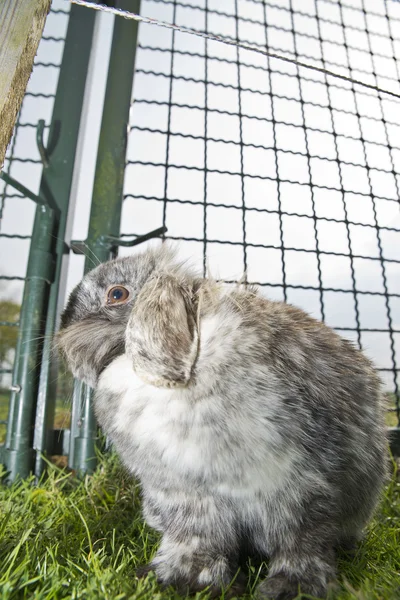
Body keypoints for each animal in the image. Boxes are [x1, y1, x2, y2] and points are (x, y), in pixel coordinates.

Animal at [57, 245, 388, 600]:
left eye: (117, 294)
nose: (63, 342)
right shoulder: (188, 501)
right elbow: (197, 543)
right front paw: (179, 581)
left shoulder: (300, 488)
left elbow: (301, 543)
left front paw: (293, 588)